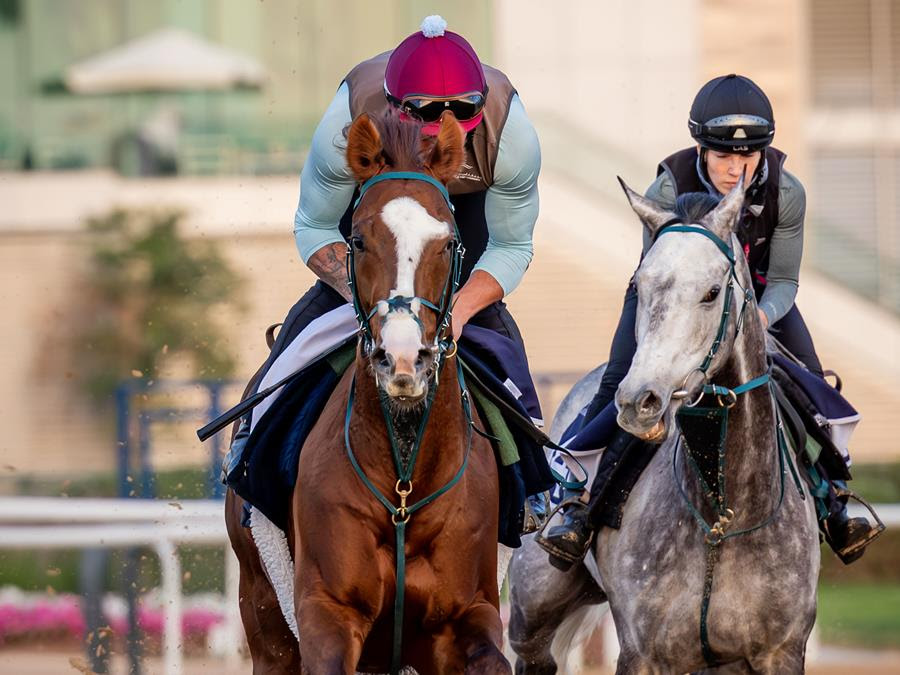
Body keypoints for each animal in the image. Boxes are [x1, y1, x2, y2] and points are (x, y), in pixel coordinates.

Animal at [225, 110, 510, 674]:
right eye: (357, 240)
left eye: (448, 243)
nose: (402, 358)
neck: (404, 487)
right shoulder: (328, 612)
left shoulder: (466, 613)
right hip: (264, 611)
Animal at [508, 179, 820, 674]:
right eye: (640, 284)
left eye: (711, 292)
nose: (639, 400)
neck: (722, 518)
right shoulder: (644, 653)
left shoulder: (780, 651)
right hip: (532, 613)